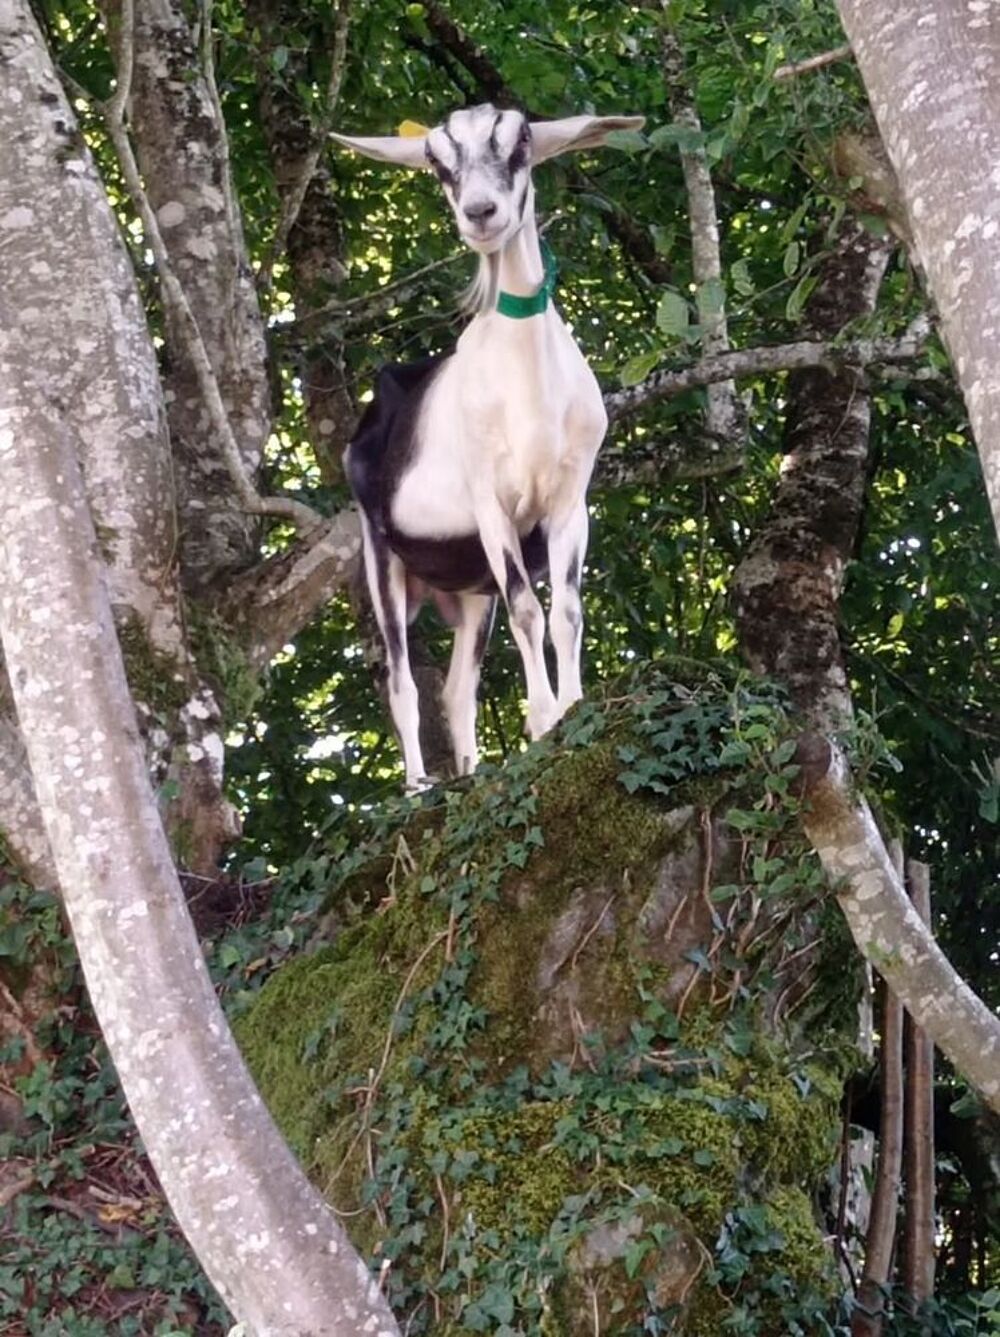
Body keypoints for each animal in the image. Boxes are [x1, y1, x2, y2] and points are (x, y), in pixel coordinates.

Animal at [333, 105, 643, 790]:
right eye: (436, 162)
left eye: (521, 140)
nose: (480, 212)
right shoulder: (491, 505)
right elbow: (529, 610)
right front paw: (544, 719)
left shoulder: (570, 502)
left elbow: (567, 610)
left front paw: (573, 705)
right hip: (381, 557)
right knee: (401, 681)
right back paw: (418, 783)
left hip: (472, 594)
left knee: (456, 694)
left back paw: (469, 769)